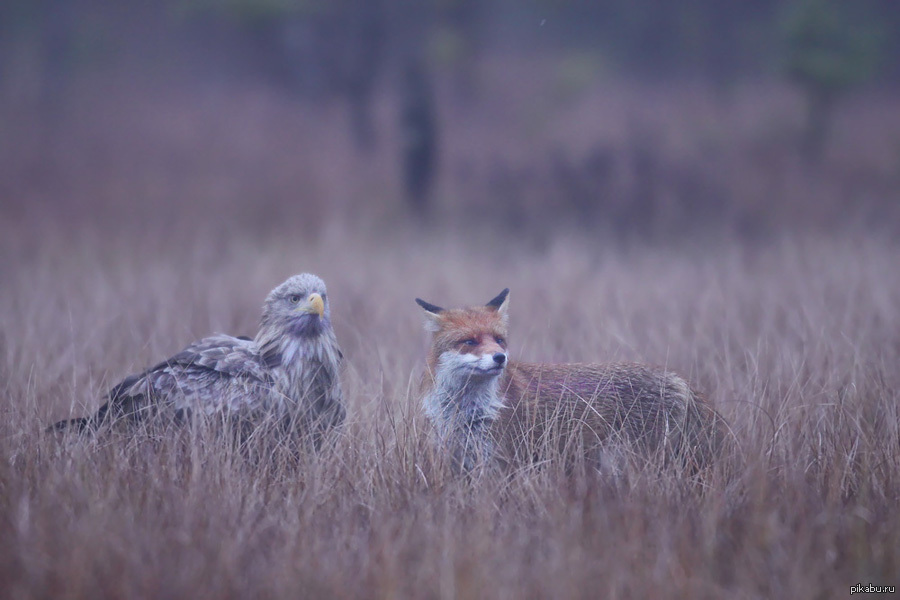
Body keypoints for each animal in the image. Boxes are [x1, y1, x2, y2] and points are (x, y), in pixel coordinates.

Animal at [414, 288, 724, 476]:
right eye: (470, 341)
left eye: (499, 339)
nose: (500, 358)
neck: (465, 411)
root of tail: (679, 379)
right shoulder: (457, 460)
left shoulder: (499, 462)